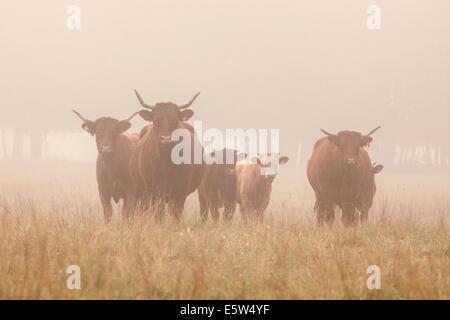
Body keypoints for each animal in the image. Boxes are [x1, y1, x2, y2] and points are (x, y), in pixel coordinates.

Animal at [129, 89, 207, 220]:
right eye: (156, 121)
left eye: (175, 121)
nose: (166, 139)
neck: (166, 164)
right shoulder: (154, 191)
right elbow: (158, 213)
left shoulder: (180, 191)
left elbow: (177, 214)